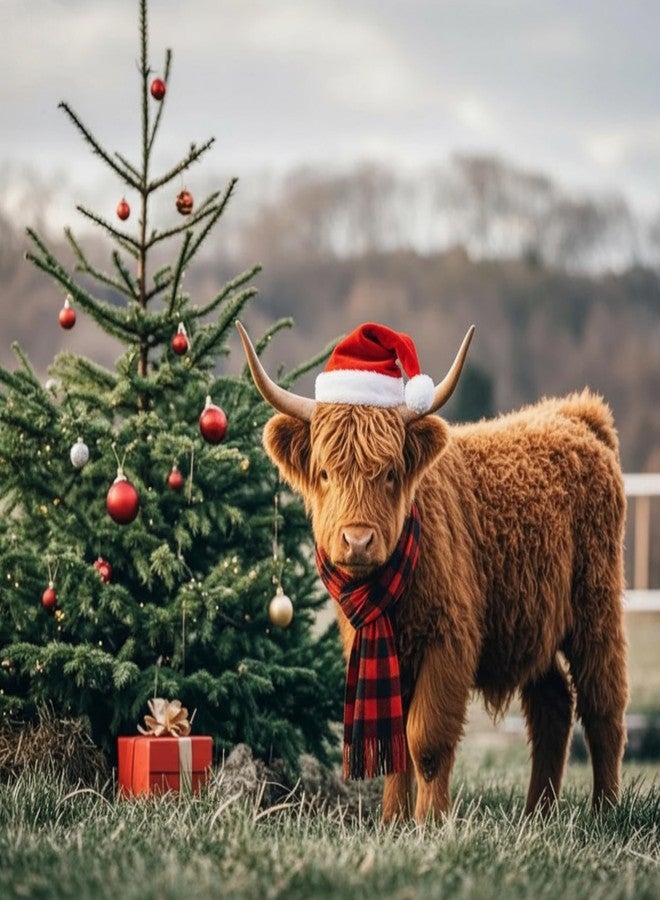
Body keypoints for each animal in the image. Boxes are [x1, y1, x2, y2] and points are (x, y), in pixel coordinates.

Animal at [236, 320, 628, 823]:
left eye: (388, 474)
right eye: (324, 473)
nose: (357, 540)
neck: (387, 598)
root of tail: (574, 416)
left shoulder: (449, 639)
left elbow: (425, 739)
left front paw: (431, 821)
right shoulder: (382, 648)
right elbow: (392, 742)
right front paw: (392, 821)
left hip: (595, 607)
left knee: (603, 705)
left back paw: (605, 810)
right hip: (530, 620)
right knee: (553, 705)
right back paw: (537, 811)